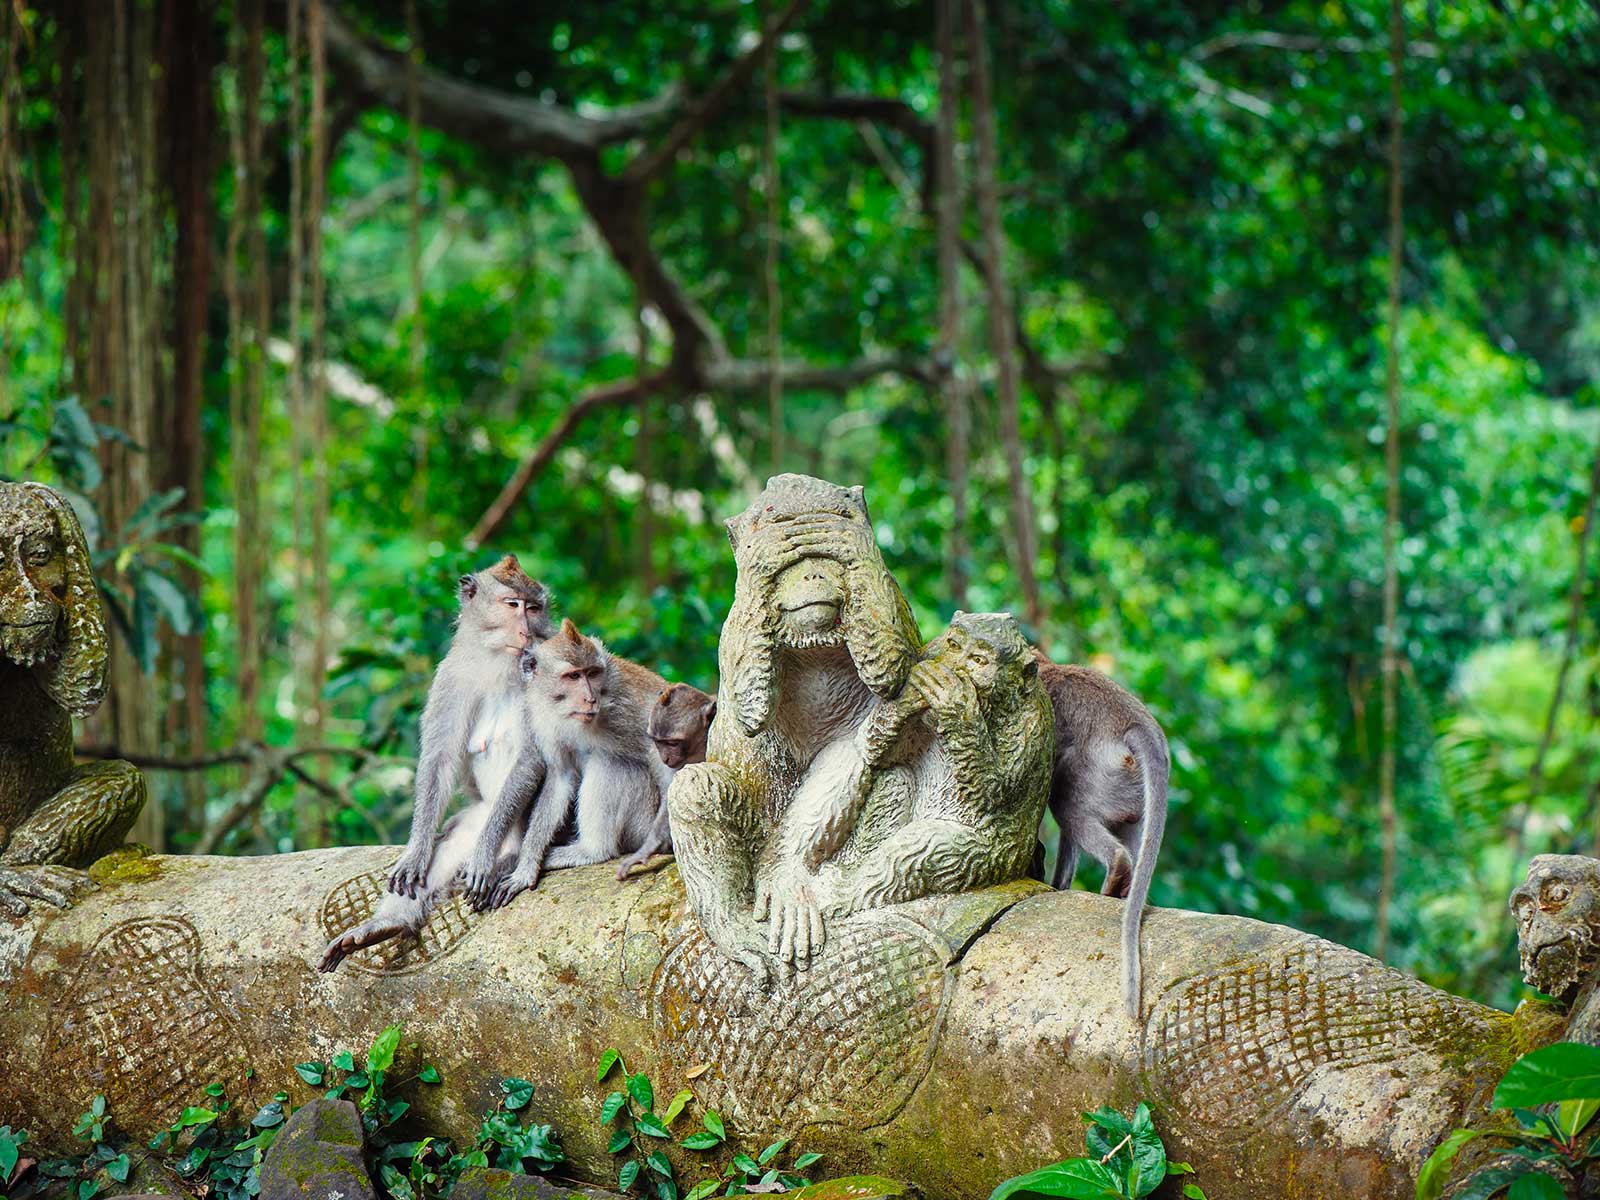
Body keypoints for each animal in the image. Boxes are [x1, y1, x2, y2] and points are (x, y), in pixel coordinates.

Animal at [318, 556, 555, 972]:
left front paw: (484, 857)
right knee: (447, 846)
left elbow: (531, 757)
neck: (500, 663)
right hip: (476, 817)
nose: (526, 629)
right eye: (512, 605)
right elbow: (439, 760)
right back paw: (385, 925)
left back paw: (504, 859)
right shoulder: (450, 675)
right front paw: (416, 851)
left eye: (534, 608)